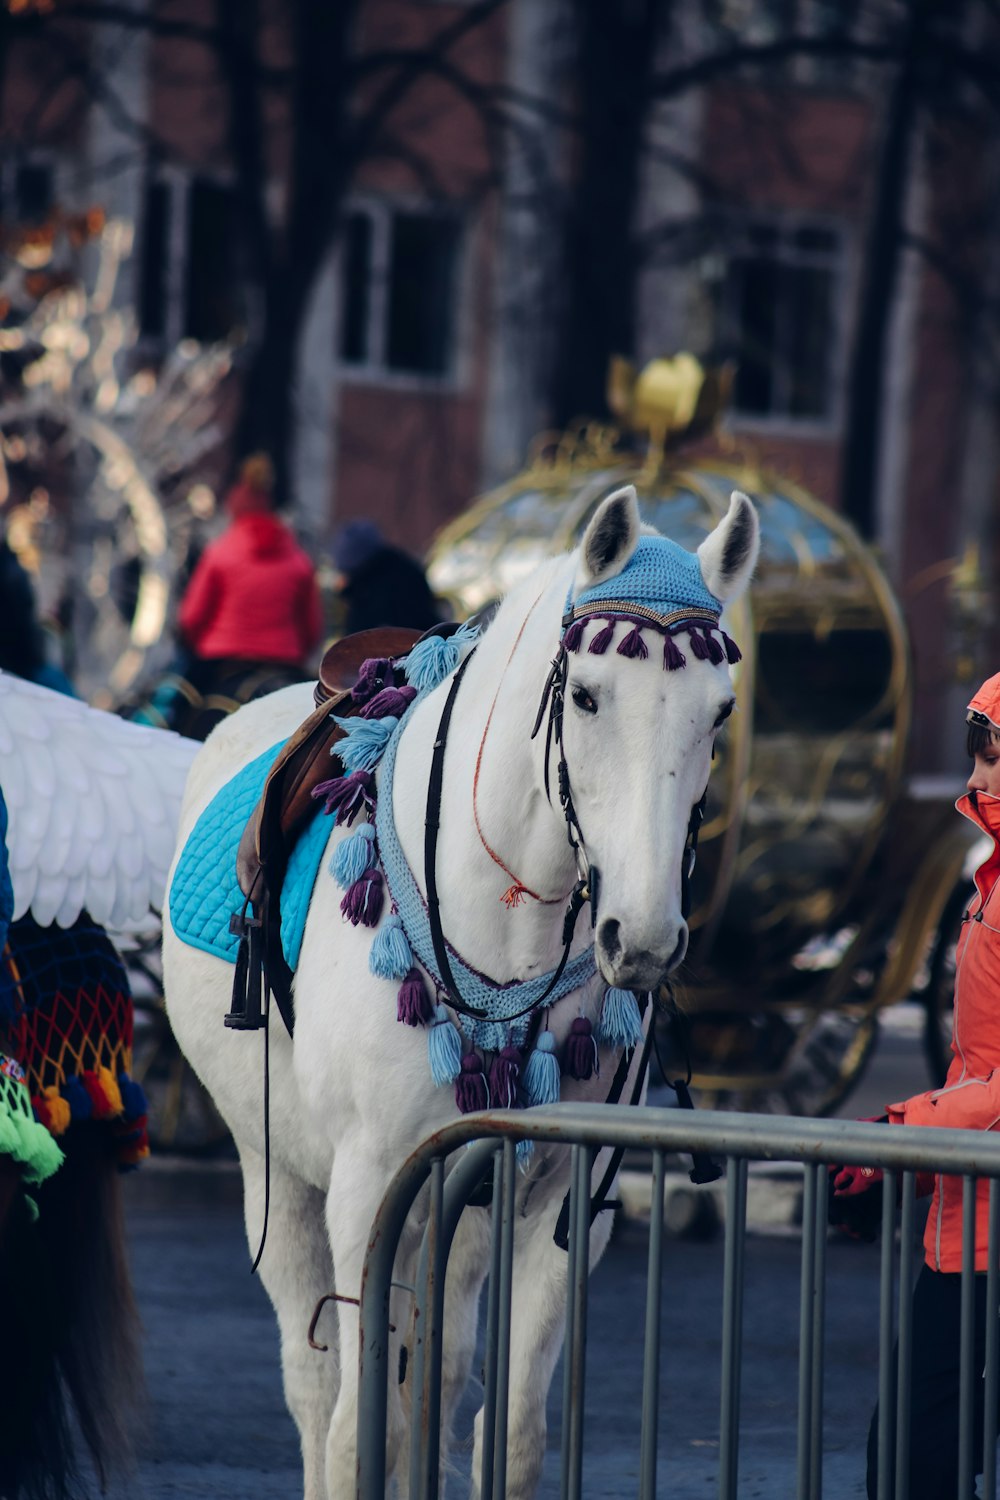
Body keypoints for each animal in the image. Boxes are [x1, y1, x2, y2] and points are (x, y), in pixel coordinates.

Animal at [162, 486, 758, 1494]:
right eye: (587, 695)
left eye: (718, 714)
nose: (641, 938)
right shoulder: (368, 1187)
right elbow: (360, 1430)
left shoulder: (562, 1198)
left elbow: (503, 1430)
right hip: (274, 1168)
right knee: (317, 1387)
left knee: (435, 1376)